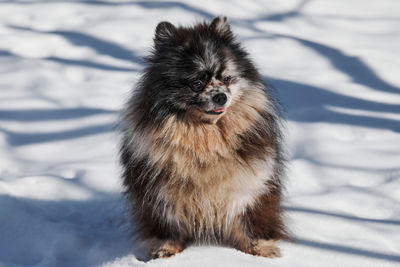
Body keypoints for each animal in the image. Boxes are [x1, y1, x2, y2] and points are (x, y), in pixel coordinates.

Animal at [120, 16, 290, 260]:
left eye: (227, 79)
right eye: (197, 84)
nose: (221, 96)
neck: (206, 138)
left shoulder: (251, 185)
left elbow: (250, 220)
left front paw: (261, 250)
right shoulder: (160, 193)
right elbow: (169, 225)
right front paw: (166, 250)